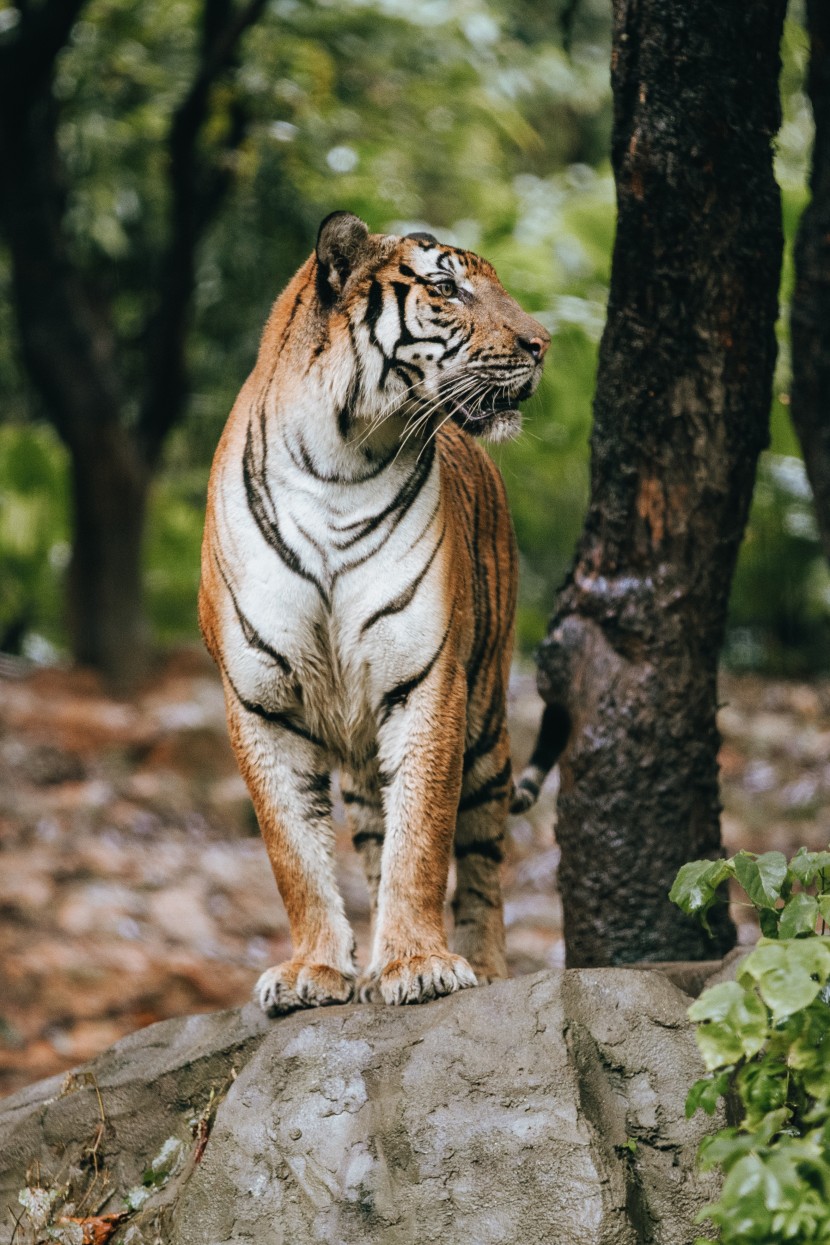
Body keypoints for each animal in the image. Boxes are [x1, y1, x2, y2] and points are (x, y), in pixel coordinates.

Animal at [201, 209, 562, 1015]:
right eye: (447, 288)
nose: (542, 343)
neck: (340, 461)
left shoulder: (427, 680)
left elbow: (421, 837)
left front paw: (419, 963)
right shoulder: (259, 700)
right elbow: (294, 852)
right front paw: (315, 968)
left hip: (486, 721)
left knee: (483, 857)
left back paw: (486, 964)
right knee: (371, 834)